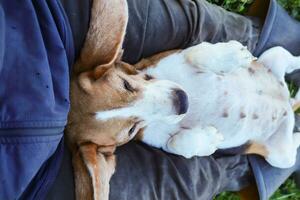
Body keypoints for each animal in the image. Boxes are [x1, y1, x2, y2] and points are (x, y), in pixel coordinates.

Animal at [66, 0, 300, 198]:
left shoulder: (172, 56)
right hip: (280, 157)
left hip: (275, 55)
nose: (182, 101)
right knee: (293, 148)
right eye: (131, 131)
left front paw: (229, 55)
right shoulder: (157, 138)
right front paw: (209, 139)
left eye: (126, 85)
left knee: (292, 63)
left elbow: (196, 53)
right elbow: (176, 142)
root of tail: (286, 105)